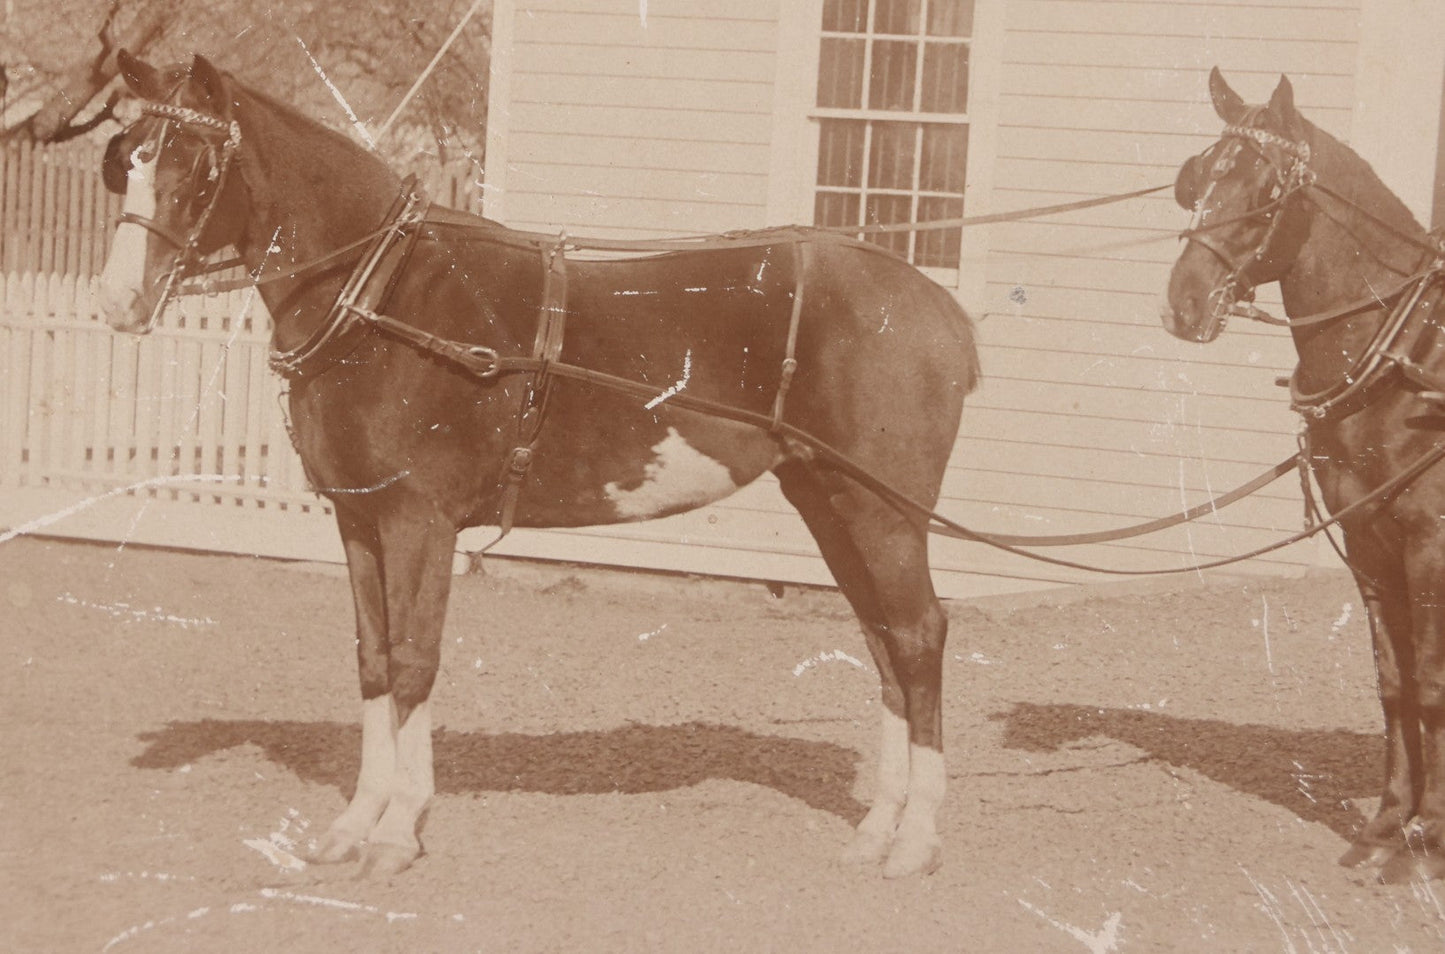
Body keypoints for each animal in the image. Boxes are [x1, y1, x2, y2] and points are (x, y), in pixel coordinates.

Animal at [95, 51, 980, 879]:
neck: (385, 298)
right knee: (883, 641)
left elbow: (414, 662)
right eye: (128, 158)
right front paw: (354, 824)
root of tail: (935, 305)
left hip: (882, 512)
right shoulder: (359, 517)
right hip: (827, 500)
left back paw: (916, 839)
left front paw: (396, 831)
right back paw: (877, 832)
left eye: (194, 169)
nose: (115, 303)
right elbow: (374, 660)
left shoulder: (419, 522)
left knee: (918, 635)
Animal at [1163, 67, 1445, 883]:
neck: (1407, 359)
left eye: (1265, 189)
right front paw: (1387, 826)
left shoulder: (1428, 544)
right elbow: (1394, 683)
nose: (1182, 303)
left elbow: (1432, 683)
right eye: (1197, 178)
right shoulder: (1370, 539)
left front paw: (1427, 845)